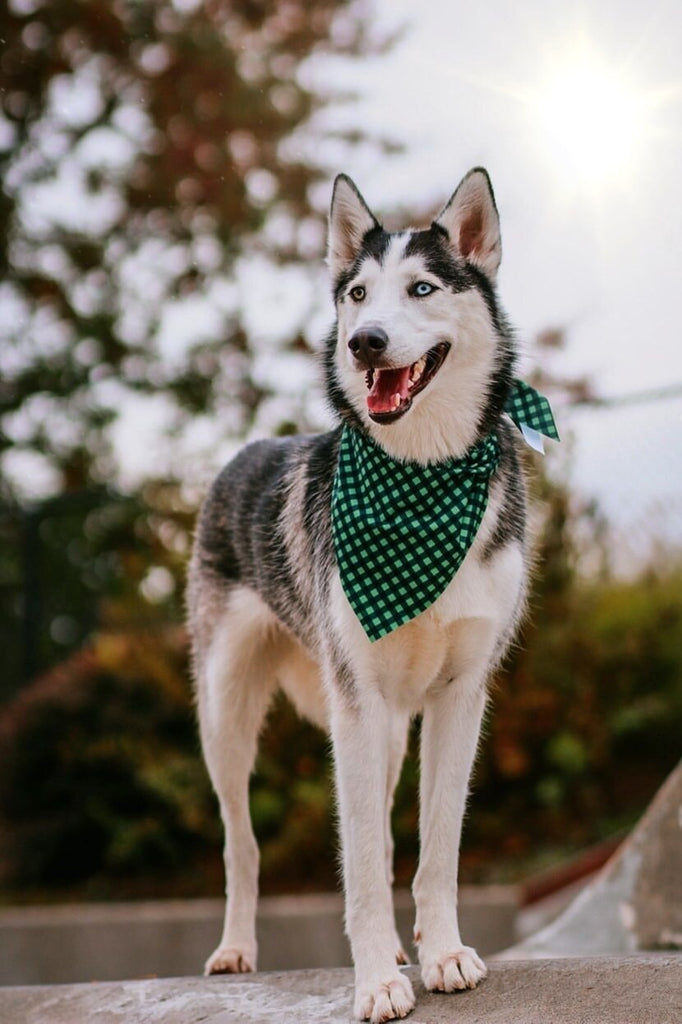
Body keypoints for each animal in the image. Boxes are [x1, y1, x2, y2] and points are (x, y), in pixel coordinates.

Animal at [187, 172, 552, 1019]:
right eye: (357, 294)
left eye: (421, 288)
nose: (366, 342)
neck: (420, 477)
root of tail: (244, 454)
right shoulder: (354, 702)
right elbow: (356, 867)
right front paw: (377, 980)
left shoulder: (461, 695)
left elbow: (436, 845)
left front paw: (442, 953)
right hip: (228, 714)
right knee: (241, 842)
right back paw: (235, 949)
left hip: (384, 731)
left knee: (382, 832)